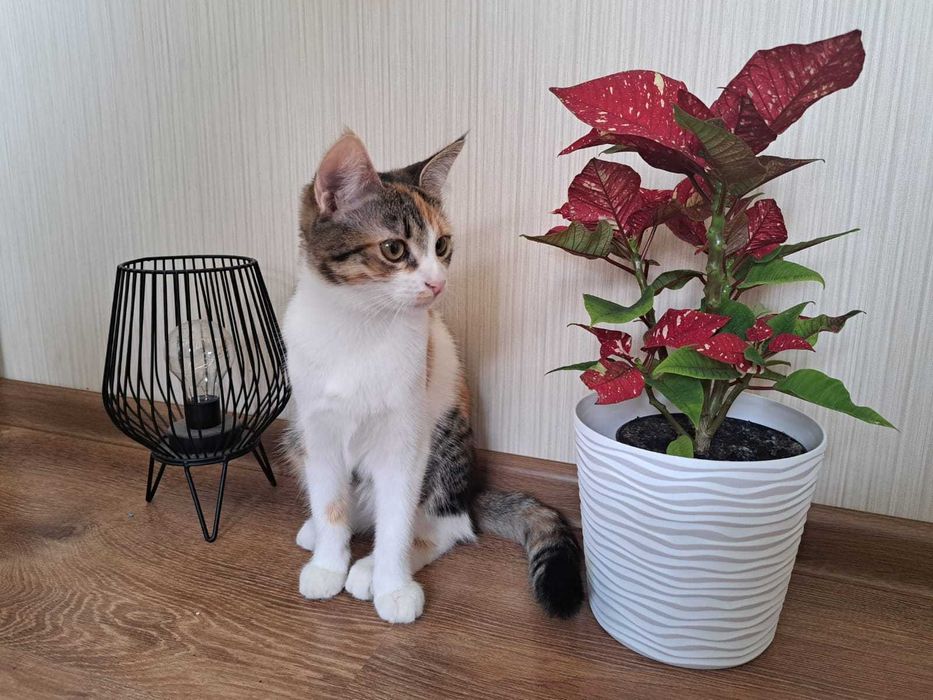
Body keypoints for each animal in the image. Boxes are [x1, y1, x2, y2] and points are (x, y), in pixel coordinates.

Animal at [282, 131, 583, 623]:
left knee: (447, 524)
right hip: (294, 436)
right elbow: (330, 502)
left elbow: (397, 523)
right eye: (394, 249)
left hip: (444, 443)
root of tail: (470, 491)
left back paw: (373, 568)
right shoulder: (317, 428)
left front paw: (391, 585)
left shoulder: (404, 436)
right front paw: (327, 564)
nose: (436, 283)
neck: (358, 327)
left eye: (441, 246)